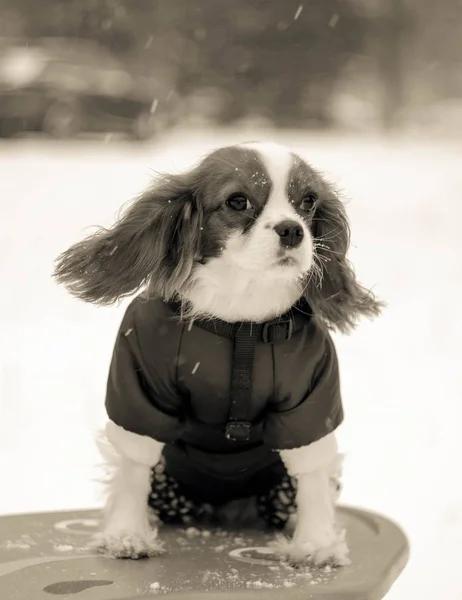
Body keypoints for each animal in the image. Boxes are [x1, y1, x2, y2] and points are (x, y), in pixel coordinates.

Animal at [54, 143, 380, 564]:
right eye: (237, 201)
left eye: (308, 200)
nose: (293, 230)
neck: (241, 320)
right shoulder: (139, 386)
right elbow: (133, 467)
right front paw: (126, 534)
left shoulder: (311, 400)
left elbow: (310, 474)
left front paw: (316, 544)